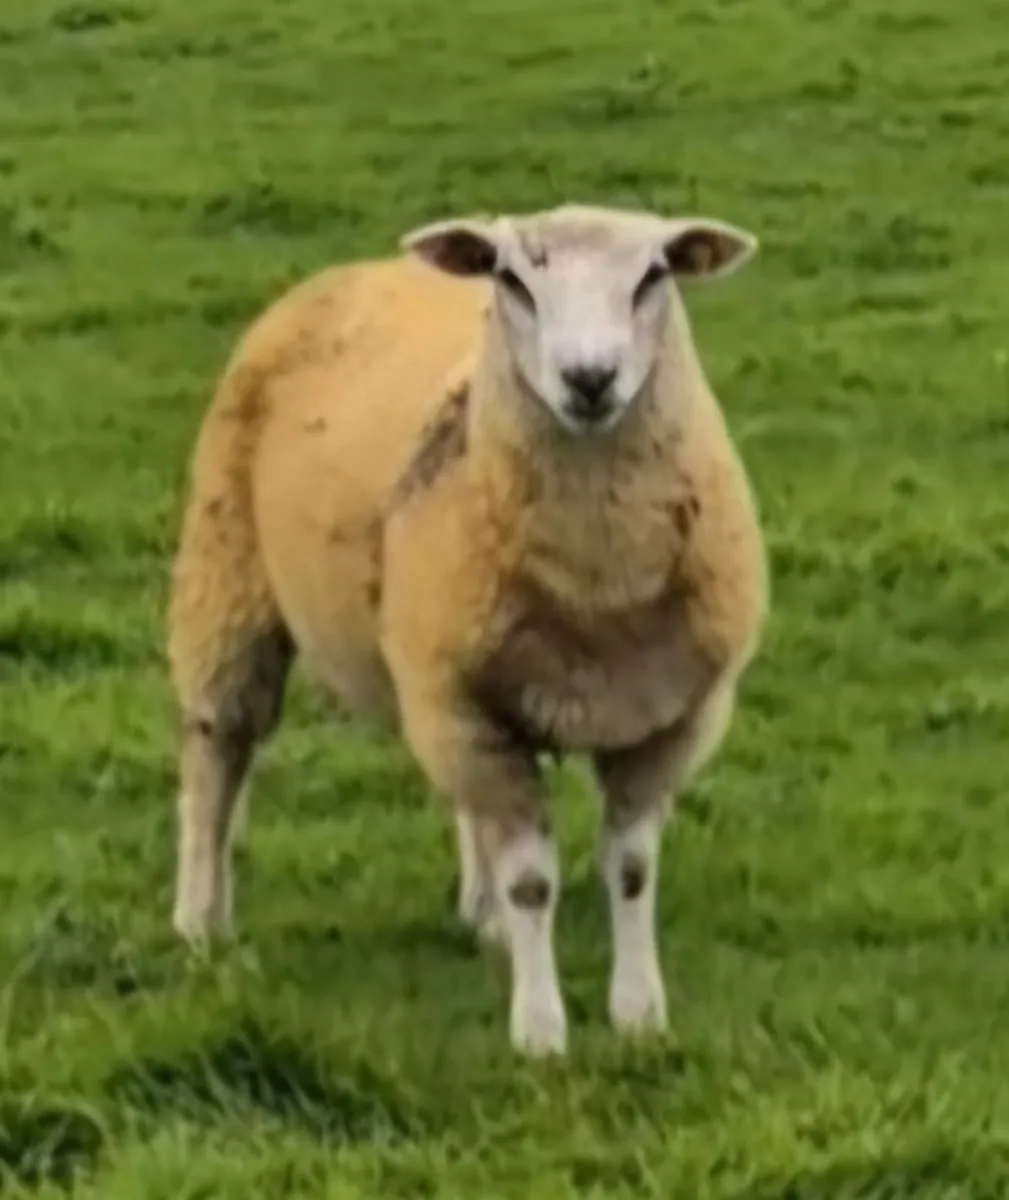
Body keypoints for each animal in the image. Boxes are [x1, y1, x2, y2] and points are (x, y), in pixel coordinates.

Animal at [167, 203, 769, 1058]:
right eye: (512, 279)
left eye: (653, 275)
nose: (589, 379)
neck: (595, 585)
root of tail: (362, 269)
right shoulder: (468, 709)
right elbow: (532, 882)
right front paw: (541, 1034)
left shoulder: (664, 721)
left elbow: (629, 871)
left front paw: (638, 1016)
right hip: (231, 574)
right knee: (216, 751)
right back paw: (200, 921)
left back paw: (483, 920)